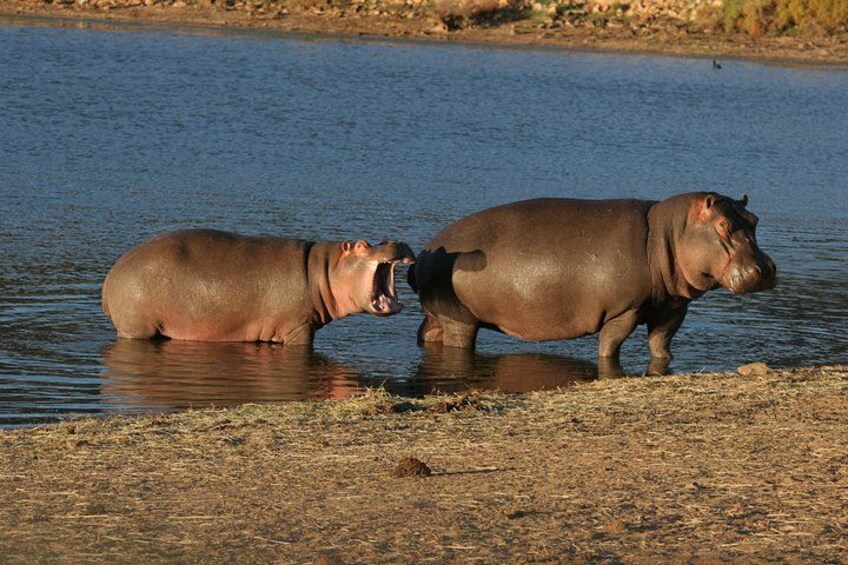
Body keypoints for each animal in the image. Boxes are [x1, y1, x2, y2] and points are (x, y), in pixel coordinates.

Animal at [102, 229, 415, 345]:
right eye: (362, 245)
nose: (396, 241)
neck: (324, 270)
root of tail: (109, 278)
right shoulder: (298, 327)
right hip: (136, 328)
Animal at [409, 192, 776, 360]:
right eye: (723, 225)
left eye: (754, 219)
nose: (767, 269)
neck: (669, 233)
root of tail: (426, 252)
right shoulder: (624, 310)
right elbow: (610, 345)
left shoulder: (672, 307)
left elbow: (661, 342)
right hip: (461, 320)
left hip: (439, 315)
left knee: (427, 334)